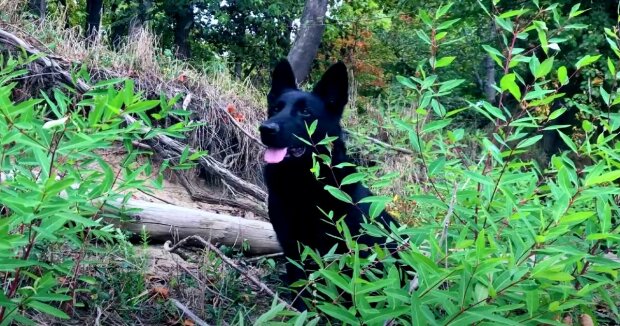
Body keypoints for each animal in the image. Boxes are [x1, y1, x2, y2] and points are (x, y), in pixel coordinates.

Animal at [258, 58, 400, 310]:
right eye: (275, 108)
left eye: (305, 111)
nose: (266, 129)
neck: (302, 186)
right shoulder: (293, 248)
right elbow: (302, 291)